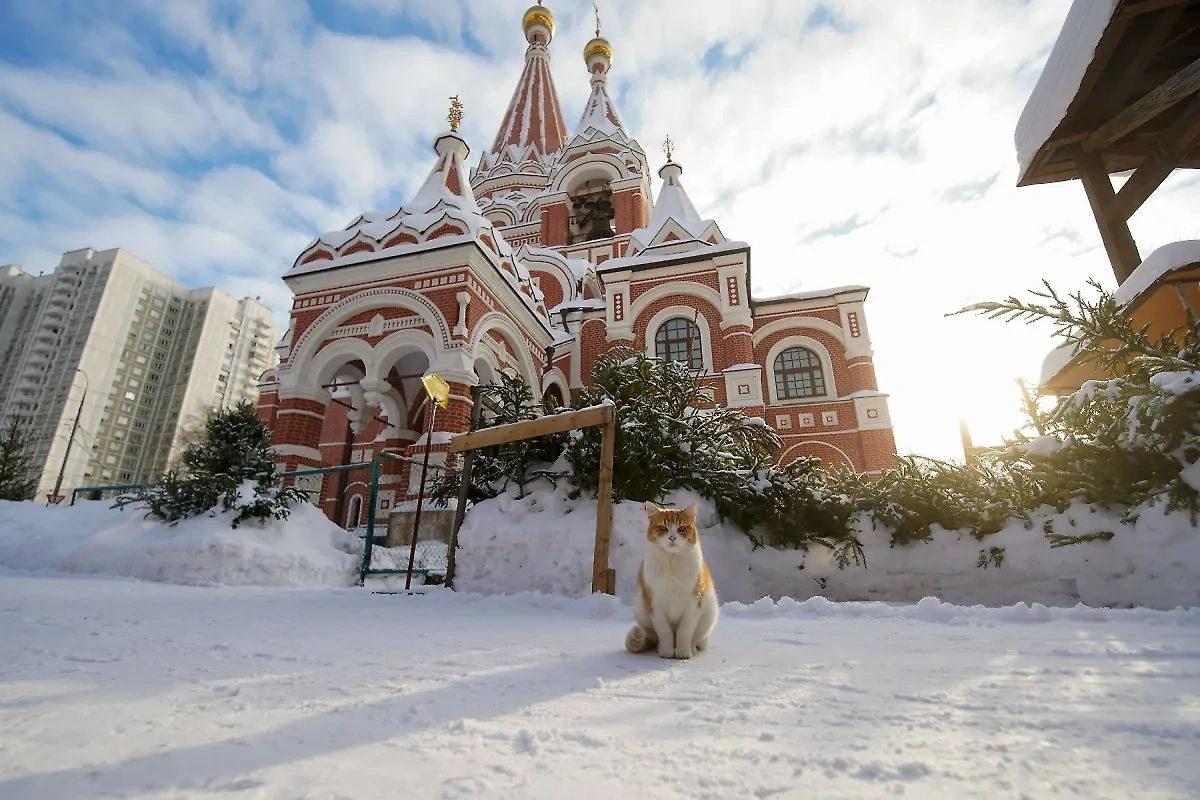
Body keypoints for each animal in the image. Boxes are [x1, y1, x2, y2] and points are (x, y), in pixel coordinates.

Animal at [624, 503, 715, 662]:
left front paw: (683, 652)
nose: (672, 537)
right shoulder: (655, 605)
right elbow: (665, 632)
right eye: (663, 528)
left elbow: (684, 631)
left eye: (682, 528)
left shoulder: (693, 604)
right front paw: (667, 651)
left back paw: (692, 648)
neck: (672, 562)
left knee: (697, 640)